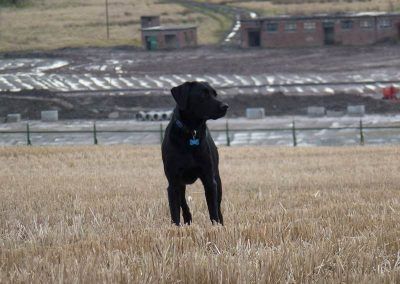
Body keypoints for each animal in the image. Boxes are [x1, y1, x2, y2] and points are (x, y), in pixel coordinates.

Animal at [160, 81, 228, 225]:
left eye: (215, 94)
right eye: (203, 94)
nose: (225, 106)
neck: (191, 132)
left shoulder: (209, 179)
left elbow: (213, 210)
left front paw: (216, 226)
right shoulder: (173, 182)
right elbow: (175, 211)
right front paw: (176, 227)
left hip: (217, 179)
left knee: (218, 206)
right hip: (180, 185)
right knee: (183, 203)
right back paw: (188, 220)